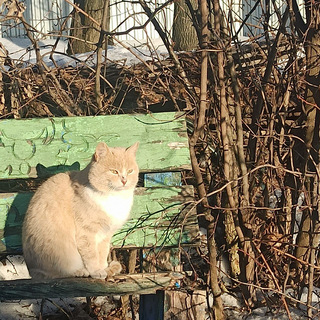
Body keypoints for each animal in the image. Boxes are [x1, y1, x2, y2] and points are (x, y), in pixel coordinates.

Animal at [21, 141, 139, 278]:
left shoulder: (105, 235)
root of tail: (31, 271)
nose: (124, 180)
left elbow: (102, 253)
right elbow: (91, 255)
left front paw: (104, 268)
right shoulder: (86, 233)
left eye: (130, 171)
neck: (114, 198)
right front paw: (96, 271)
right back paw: (81, 271)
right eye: (114, 171)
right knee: (59, 273)